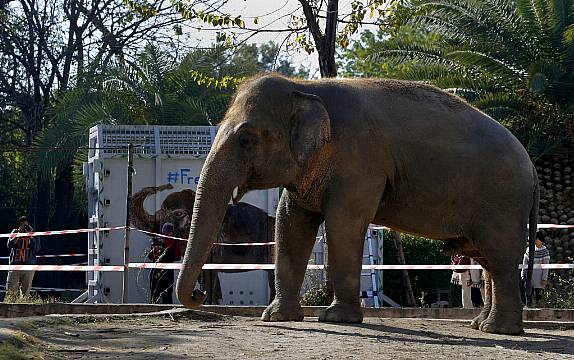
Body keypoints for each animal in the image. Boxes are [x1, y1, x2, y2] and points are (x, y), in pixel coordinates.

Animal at [176, 73, 540, 334]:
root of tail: (533, 167)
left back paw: (499, 330)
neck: (304, 87)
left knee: (499, 258)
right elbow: (290, 222)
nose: (200, 295)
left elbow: (344, 223)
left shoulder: (360, 161)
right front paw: (277, 318)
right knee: (486, 259)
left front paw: (337, 319)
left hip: (503, 200)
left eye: (246, 139)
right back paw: (481, 325)